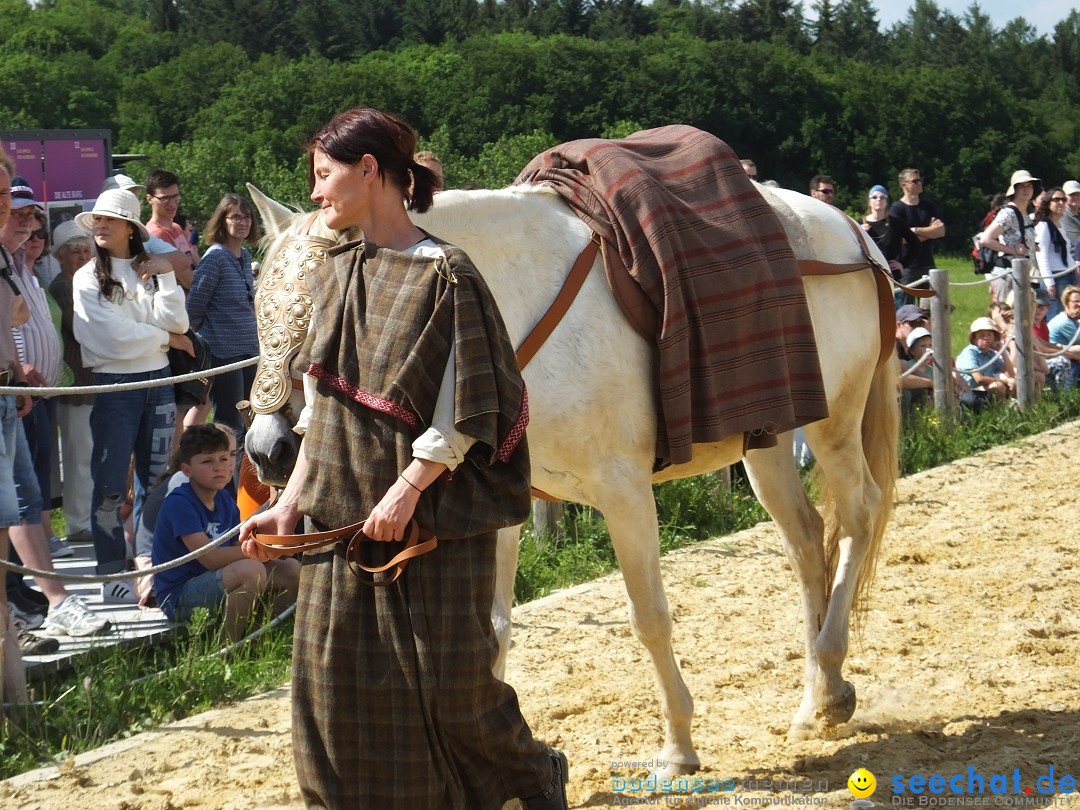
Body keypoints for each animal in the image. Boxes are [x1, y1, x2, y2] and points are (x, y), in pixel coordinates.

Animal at [247, 183, 902, 781]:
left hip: (834, 424)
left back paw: (829, 670)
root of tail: (854, 233)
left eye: (316, 315)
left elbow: (650, 618)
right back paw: (821, 695)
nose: (266, 451)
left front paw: (677, 750)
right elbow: (491, 630)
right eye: (259, 309)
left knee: (860, 516)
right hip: (768, 445)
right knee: (805, 539)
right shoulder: (499, 508)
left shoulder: (624, 492)